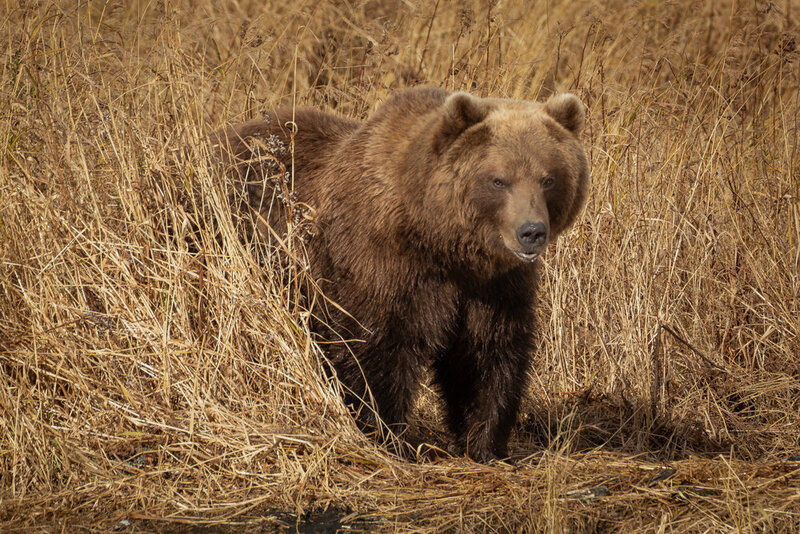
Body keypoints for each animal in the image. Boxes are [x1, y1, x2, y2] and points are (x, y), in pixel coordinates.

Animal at [212, 87, 589, 462]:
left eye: (548, 178)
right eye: (498, 180)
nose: (532, 231)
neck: (441, 241)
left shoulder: (494, 287)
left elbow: (488, 353)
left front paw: (484, 441)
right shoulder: (382, 266)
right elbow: (375, 348)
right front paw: (388, 435)